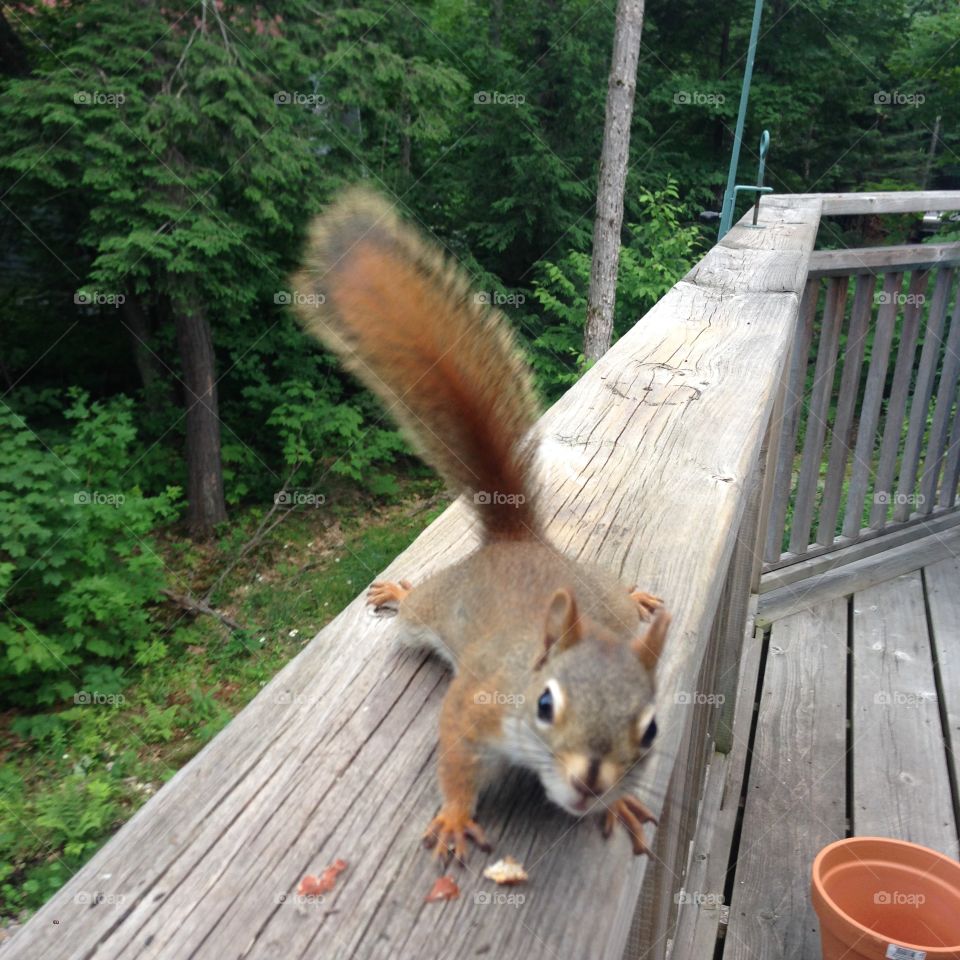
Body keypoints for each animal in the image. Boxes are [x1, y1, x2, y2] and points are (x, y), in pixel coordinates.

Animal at [291, 186, 670, 863]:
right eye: (545, 703)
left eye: (651, 729)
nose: (589, 783)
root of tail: (516, 540)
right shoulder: (475, 705)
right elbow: (454, 760)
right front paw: (453, 817)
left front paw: (620, 803)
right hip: (435, 610)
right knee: (417, 607)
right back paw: (399, 590)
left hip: (598, 589)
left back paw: (636, 595)